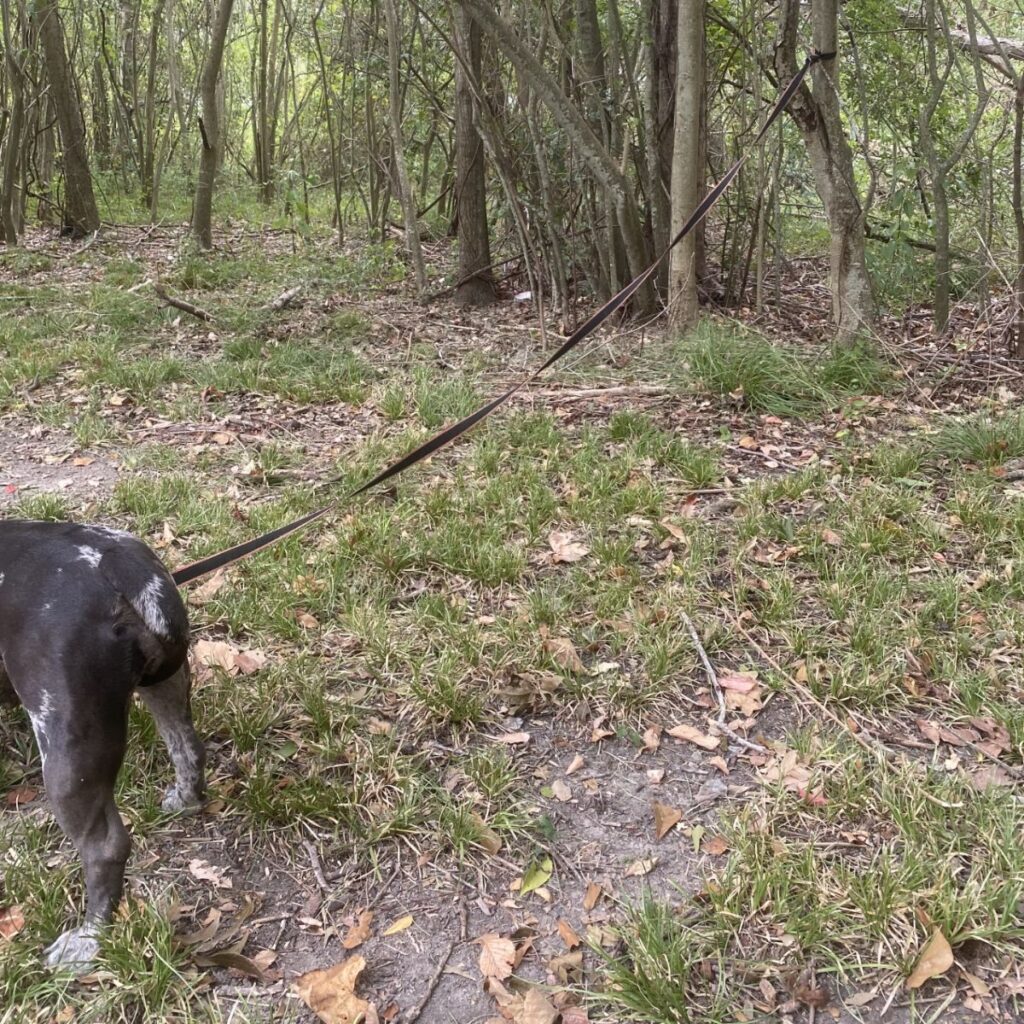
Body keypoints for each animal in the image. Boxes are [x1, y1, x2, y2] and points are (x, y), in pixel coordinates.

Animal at [0, 520, 205, 966]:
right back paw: (186, 798)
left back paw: (89, 938)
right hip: (165, 681)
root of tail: (114, 561)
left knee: (105, 850)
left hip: (66, 754)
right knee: (187, 748)